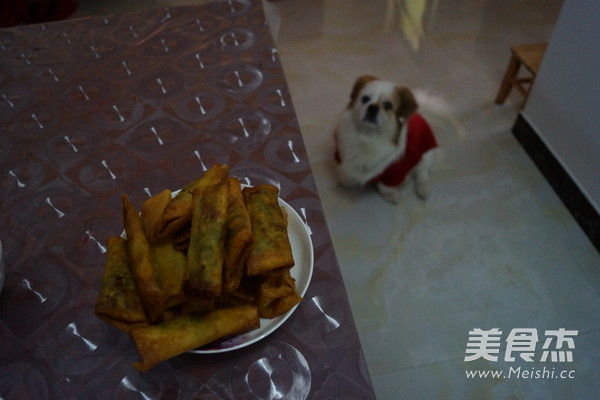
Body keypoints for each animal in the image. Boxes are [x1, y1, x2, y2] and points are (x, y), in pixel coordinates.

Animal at [332, 75, 436, 203]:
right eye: (365, 99)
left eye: (388, 105)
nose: (372, 107)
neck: (369, 137)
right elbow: (350, 171)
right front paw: (348, 180)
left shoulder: (395, 172)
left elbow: (384, 186)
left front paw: (391, 196)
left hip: (426, 154)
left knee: (422, 171)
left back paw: (423, 188)